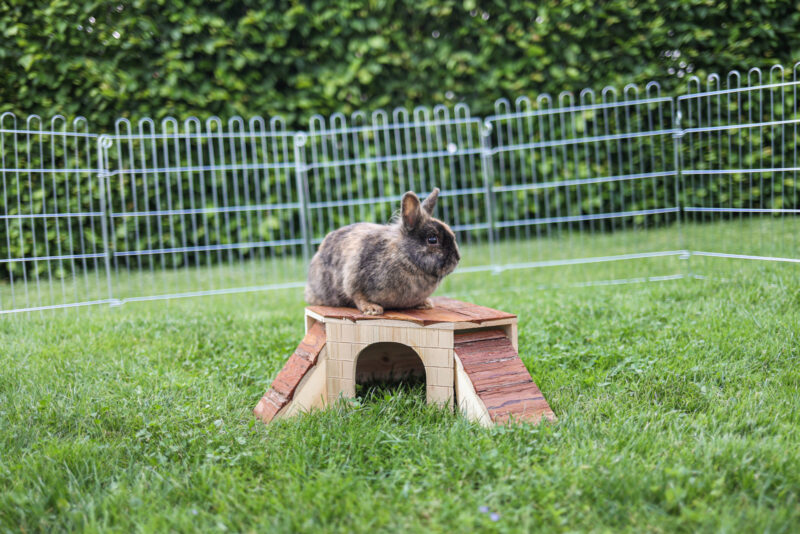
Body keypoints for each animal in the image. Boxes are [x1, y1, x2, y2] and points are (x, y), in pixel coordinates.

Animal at [304, 188, 460, 316]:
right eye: (432, 239)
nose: (457, 258)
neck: (405, 257)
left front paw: (426, 303)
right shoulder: (353, 278)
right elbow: (357, 296)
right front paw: (372, 309)